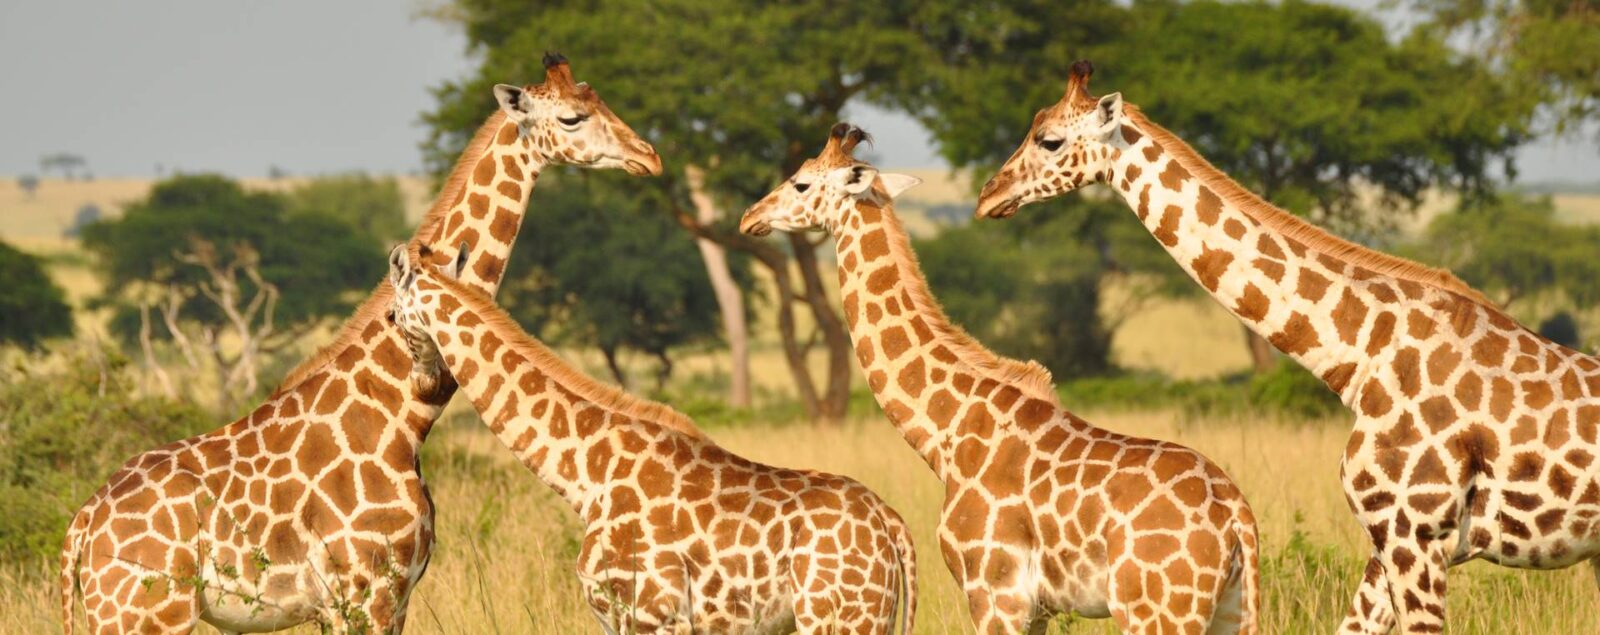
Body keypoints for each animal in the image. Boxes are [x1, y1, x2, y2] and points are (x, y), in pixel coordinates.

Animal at [58, 53, 661, 634]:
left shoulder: (390, 596)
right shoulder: (367, 590)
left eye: (598, 98)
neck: (402, 412)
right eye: (572, 118)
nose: (648, 157)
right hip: (146, 614)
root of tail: (80, 529)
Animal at [385, 242, 917, 634]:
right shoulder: (618, 620)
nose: (423, 384)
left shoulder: (654, 614)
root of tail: (892, 523)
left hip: (838, 618)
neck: (585, 475)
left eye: (391, 316)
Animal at [740, 123, 1261, 635]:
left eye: (801, 183)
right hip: (1228, 610)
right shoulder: (1036, 609)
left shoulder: (994, 591)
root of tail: (1236, 517)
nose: (749, 217)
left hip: (1158, 610)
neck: (947, 432)